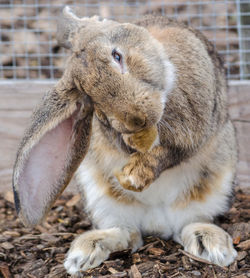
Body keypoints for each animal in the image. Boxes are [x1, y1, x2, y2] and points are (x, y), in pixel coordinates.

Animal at [12, 6, 237, 276]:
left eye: (117, 56)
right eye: (90, 98)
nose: (134, 119)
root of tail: (157, 223)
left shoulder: (194, 125)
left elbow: (173, 150)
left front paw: (135, 174)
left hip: (215, 183)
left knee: (190, 222)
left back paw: (211, 245)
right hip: (99, 194)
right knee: (127, 233)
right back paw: (85, 252)